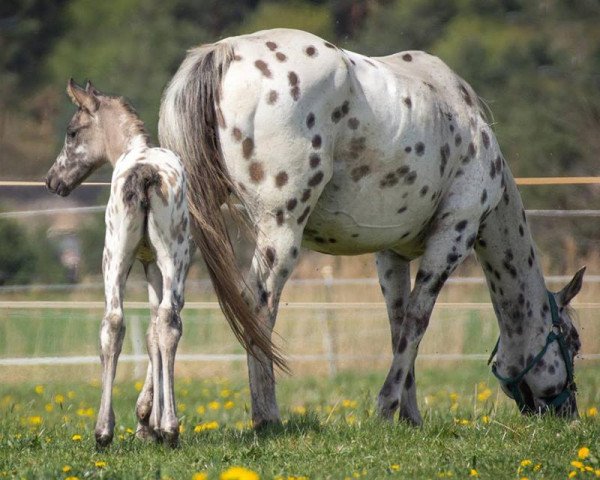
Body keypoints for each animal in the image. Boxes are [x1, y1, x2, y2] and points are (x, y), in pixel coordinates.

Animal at [46, 79, 191, 446]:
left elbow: (153, 331)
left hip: (117, 258)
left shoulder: (151, 266)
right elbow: (154, 332)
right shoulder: (153, 266)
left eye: (71, 132)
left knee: (115, 323)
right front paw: (149, 423)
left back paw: (107, 430)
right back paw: (163, 428)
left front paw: (148, 422)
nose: (52, 180)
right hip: (163, 259)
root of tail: (145, 172)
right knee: (161, 321)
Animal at [159, 28, 580, 424]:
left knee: (167, 311)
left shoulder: (391, 253)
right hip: (280, 231)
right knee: (258, 310)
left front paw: (409, 416)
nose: (570, 413)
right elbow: (417, 321)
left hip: (185, 226)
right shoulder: (452, 239)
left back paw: (158, 422)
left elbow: (398, 324)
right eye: (573, 344)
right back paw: (266, 418)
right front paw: (386, 408)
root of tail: (224, 52)